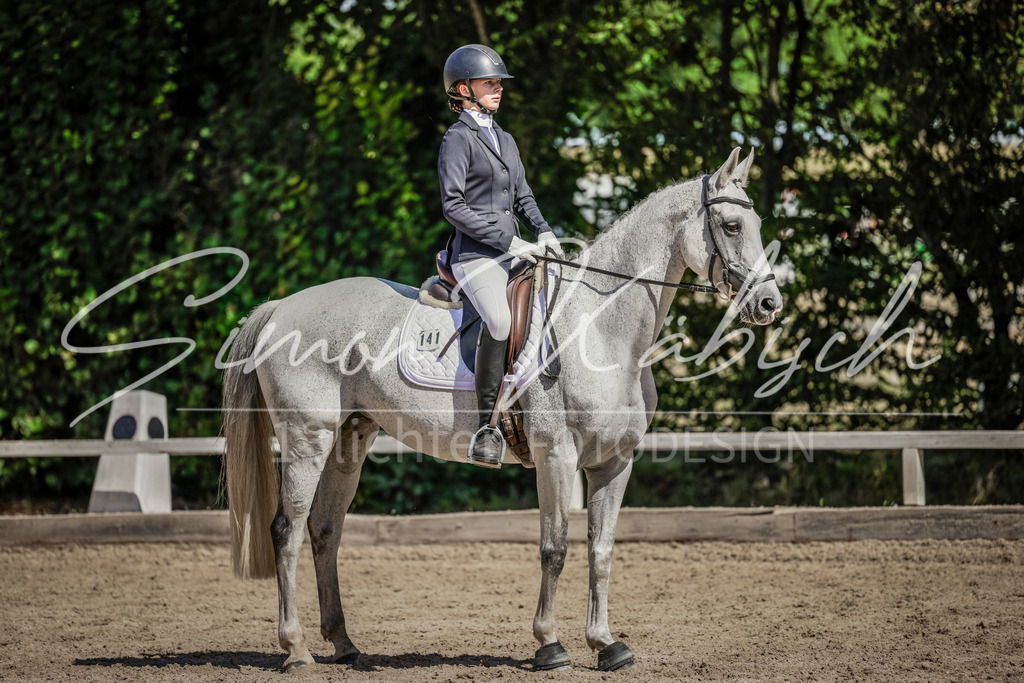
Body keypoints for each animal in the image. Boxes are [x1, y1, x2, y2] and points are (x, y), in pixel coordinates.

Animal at [222, 147, 783, 672]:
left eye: (756, 225)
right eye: (732, 226)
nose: (770, 304)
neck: (601, 330)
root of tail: (280, 308)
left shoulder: (614, 462)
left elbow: (601, 550)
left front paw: (605, 644)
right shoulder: (556, 456)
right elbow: (555, 548)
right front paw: (550, 645)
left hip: (349, 440)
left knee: (324, 530)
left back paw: (343, 644)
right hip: (306, 439)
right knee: (287, 530)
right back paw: (296, 650)